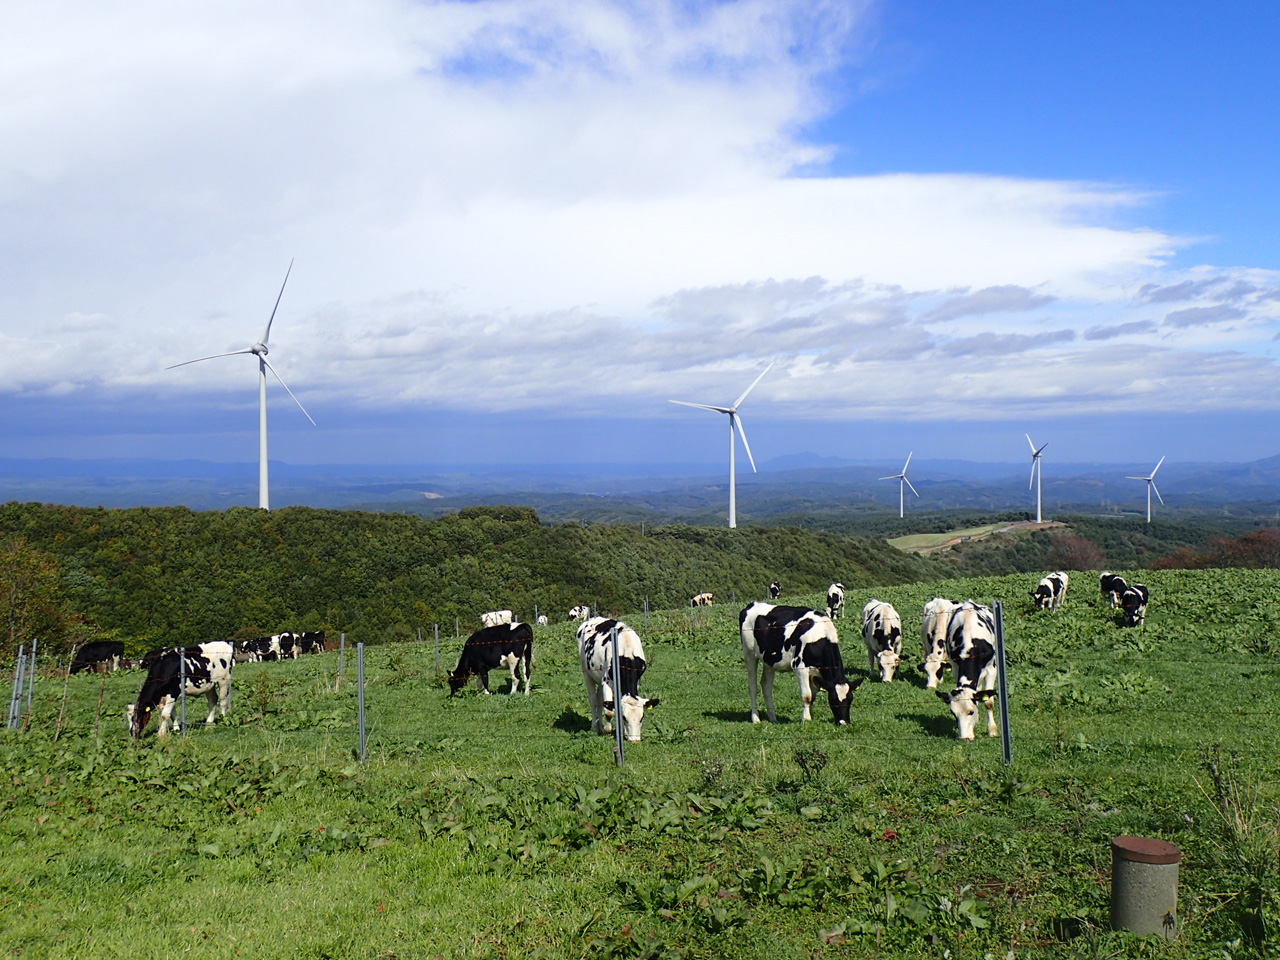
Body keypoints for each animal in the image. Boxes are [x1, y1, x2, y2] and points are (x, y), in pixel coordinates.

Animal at [578, 619, 660, 747]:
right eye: (625, 717)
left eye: (642, 717)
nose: (635, 740)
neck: (628, 654)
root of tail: (591, 620)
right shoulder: (606, 681)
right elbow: (609, 712)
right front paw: (608, 730)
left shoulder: (636, 681)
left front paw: (623, 733)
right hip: (586, 672)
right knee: (593, 700)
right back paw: (595, 727)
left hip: (599, 678)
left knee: (600, 699)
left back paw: (600, 726)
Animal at [737, 604, 865, 727]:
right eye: (833, 699)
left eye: (850, 699)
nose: (844, 723)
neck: (819, 636)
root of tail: (751, 605)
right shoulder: (800, 667)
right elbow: (807, 695)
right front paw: (806, 719)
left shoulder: (816, 674)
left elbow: (813, 696)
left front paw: (810, 715)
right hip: (749, 654)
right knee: (753, 686)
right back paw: (755, 718)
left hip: (769, 660)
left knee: (766, 685)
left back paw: (773, 718)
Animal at [942, 601, 998, 742]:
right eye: (953, 713)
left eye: (971, 711)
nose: (964, 737)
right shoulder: (955, 667)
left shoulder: (991, 669)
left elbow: (988, 701)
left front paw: (992, 731)